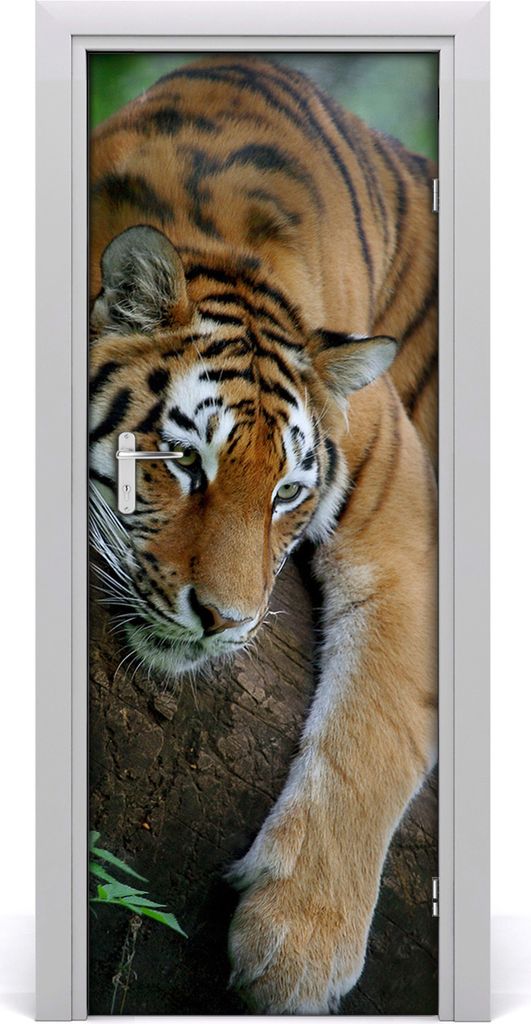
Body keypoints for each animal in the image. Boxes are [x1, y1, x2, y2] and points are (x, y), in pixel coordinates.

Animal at [89, 55, 438, 1014]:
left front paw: (299, 948)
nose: (226, 621)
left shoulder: (405, 513)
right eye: (181, 460)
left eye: (286, 492)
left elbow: (376, 727)